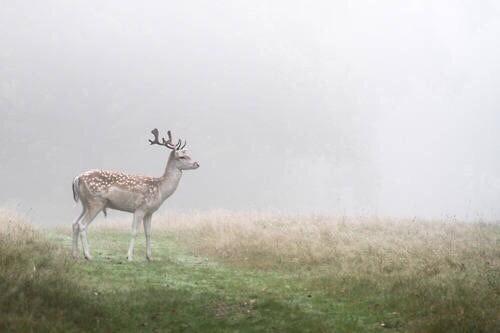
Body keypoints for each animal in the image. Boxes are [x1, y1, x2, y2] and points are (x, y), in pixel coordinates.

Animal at [72, 128, 199, 260]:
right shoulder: (140, 208)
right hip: (96, 202)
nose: (197, 163)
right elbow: (134, 232)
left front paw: (149, 257)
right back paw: (88, 255)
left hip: (85, 204)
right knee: (82, 225)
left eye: (188, 154)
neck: (160, 190)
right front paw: (129, 257)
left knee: (74, 223)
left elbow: (148, 233)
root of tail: (77, 178)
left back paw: (75, 255)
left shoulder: (150, 212)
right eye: (182, 157)